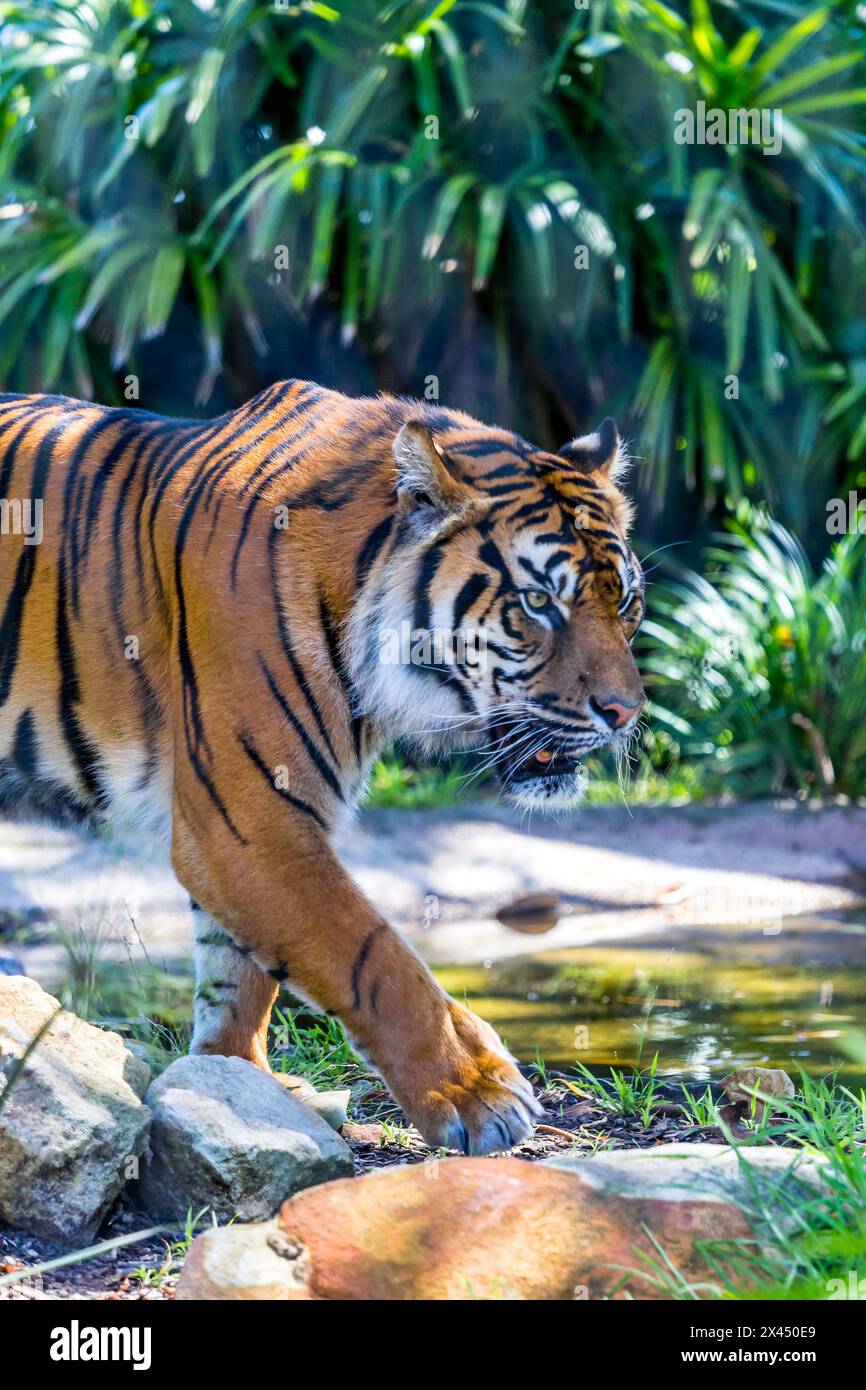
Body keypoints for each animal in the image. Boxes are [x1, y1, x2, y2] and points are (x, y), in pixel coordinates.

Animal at [0, 380, 645, 1155]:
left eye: (626, 601)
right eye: (539, 602)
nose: (626, 711)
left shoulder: (247, 828)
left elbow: (237, 973)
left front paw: (239, 1082)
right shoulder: (252, 824)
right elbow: (373, 956)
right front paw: (475, 1092)